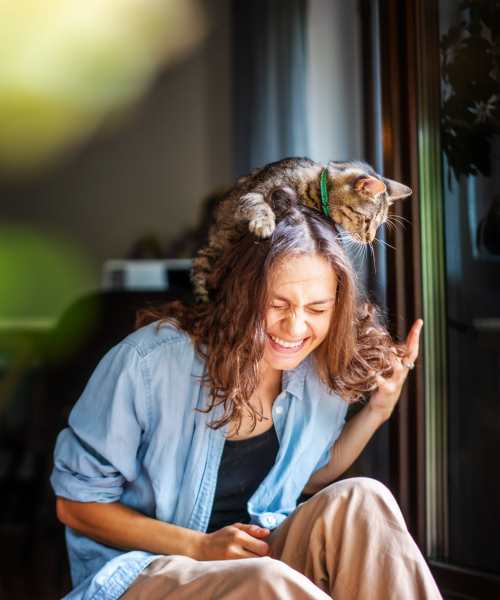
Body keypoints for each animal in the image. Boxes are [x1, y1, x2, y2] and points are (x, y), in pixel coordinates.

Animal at [191, 157, 410, 302]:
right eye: (367, 220)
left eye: (378, 224)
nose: (369, 238)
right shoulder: (253, 193)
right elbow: (257, 205)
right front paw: (264, 224)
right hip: (209, 254)